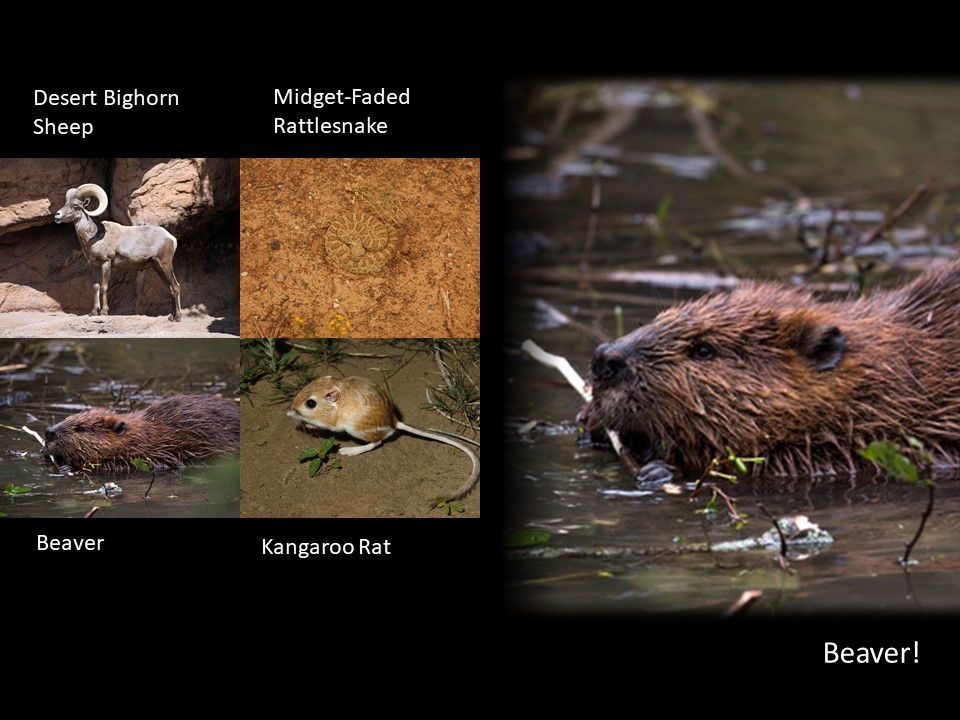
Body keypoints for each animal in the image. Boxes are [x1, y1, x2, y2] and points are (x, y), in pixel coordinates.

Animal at [53, 183, 183, 321]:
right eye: (66, 203)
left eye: (75, 205)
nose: (57, 215)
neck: (93, 238)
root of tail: (171, 238)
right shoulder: (94, 267)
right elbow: (96, 287)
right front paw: (93, 312)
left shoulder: (106, 263)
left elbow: (104, 287)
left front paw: (104, 312)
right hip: (157, 267)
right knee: (170, 288)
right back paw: (171, 316)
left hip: (165, 264)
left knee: (175, 287)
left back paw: (178, 317)